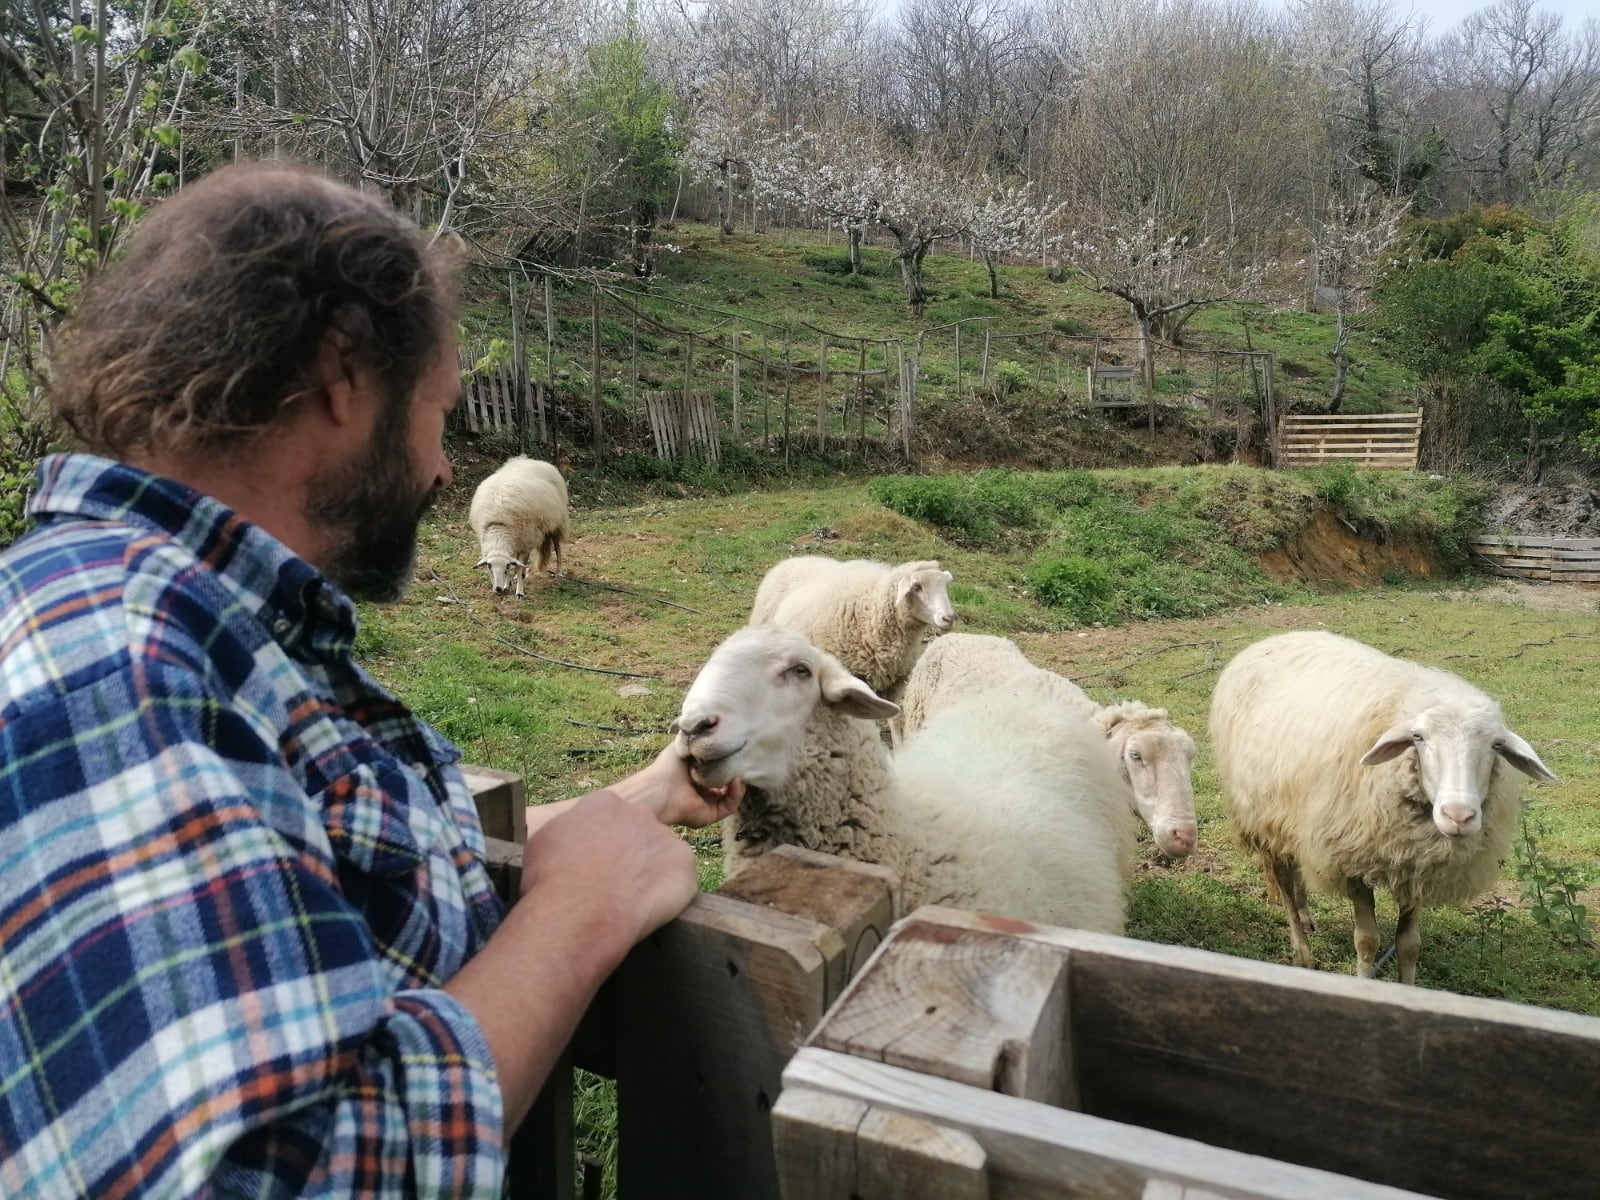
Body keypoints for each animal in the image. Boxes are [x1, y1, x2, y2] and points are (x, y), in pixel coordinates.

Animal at [467, 454, 569, 598]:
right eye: (489, 567)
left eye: (505, 568)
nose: (498, 589)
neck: (498, 524)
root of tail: (534, 461)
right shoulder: (518, 540)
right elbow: (516, 563)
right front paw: (508, 584)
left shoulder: (523, 537)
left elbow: (518, 565)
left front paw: (519, 591)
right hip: (528, 535)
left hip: (556, 523)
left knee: (557, 547)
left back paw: (559, 572)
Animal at [1203, 630, 1555, 985]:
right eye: (1418, 737)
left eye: (1496, 745)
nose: (1458, 816)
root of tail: (1276, 638)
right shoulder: (1352, 861)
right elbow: (1367, 940)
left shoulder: (1417, 866)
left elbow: (1409, 945)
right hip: (1262, 812)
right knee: (1285, 881)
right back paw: (1302, 950)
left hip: (1293, 818)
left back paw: (1306, 916)